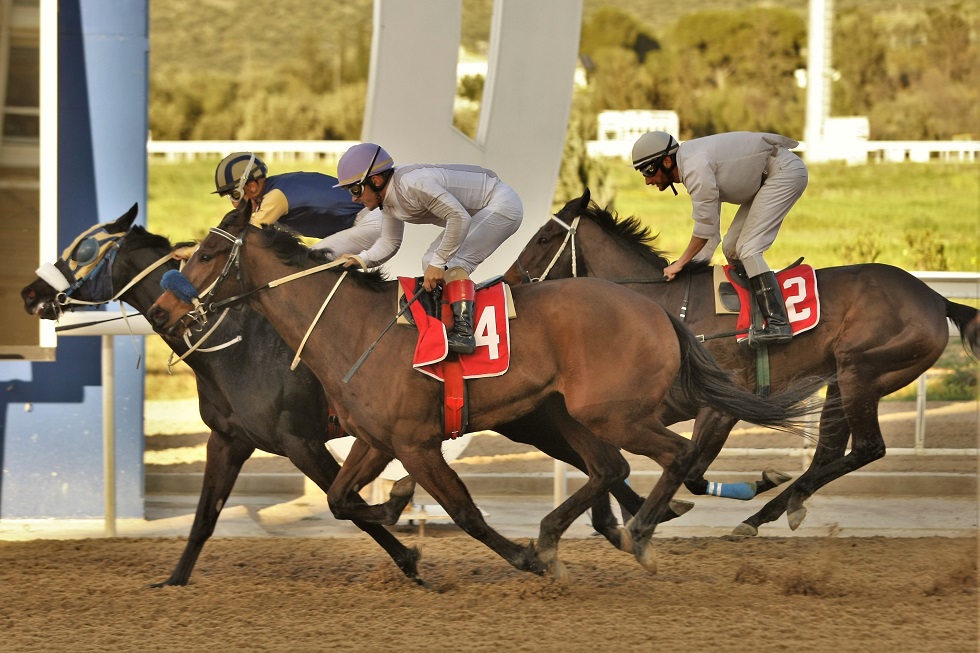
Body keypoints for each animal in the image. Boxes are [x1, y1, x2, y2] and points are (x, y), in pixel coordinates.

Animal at [16, 204, 422, 584]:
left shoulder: (301, 443)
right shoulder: (228, 439)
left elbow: (350, 506)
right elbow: (203, 519)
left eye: (83, 251)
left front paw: (409, 559)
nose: (29, 292)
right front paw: (173, 580)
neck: (237, 346)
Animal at [145, 205, 820, 580]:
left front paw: (517, 557)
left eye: (206, 253)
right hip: (569, 415)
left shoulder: (416, 443)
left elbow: (464, 512)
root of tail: (656, 310)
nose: (161, 307)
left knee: (672, 455)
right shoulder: (374, 438)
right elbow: (341, 500)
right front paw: (399, 515)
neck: (351, 327)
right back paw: (568, 531)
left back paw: (639, 534)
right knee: (610, 468)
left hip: (610, 412)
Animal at [502, 188, 976, 536]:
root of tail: (936, 299)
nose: (507, 282)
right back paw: (779, 509)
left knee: (866, 448)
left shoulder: (719, 405)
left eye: (543, 238)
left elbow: (692, 471)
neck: (665, 306)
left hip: (861, 370)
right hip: (841, 380)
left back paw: (771, 508)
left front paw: (754, 483)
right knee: (828, 452)